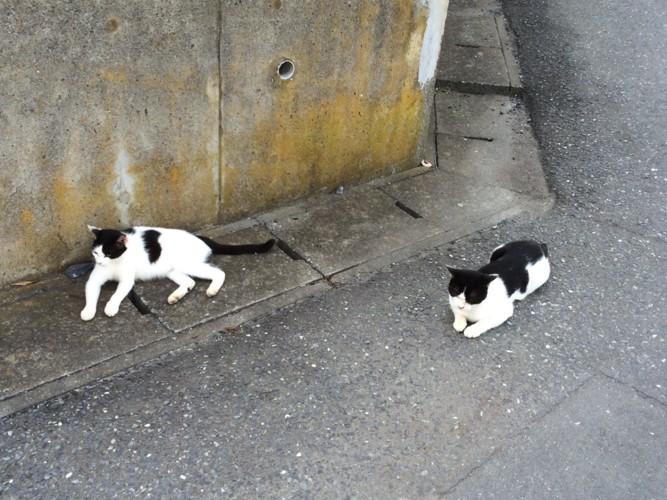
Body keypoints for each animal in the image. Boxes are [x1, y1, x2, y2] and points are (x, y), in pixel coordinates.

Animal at [80, 226, 274, 322]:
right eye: (96, 253)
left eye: (108, 253)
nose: (99, 262)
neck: (114, 263)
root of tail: (199, 237)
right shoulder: (94, 280)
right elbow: (91, 295)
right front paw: (88, 311)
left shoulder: (126, 280)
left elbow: (117, 294)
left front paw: (110, 307)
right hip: (171, 270)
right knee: (190, 283)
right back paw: (175, 296)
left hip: (190, 265)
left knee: (219, 272)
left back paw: (212, 290)